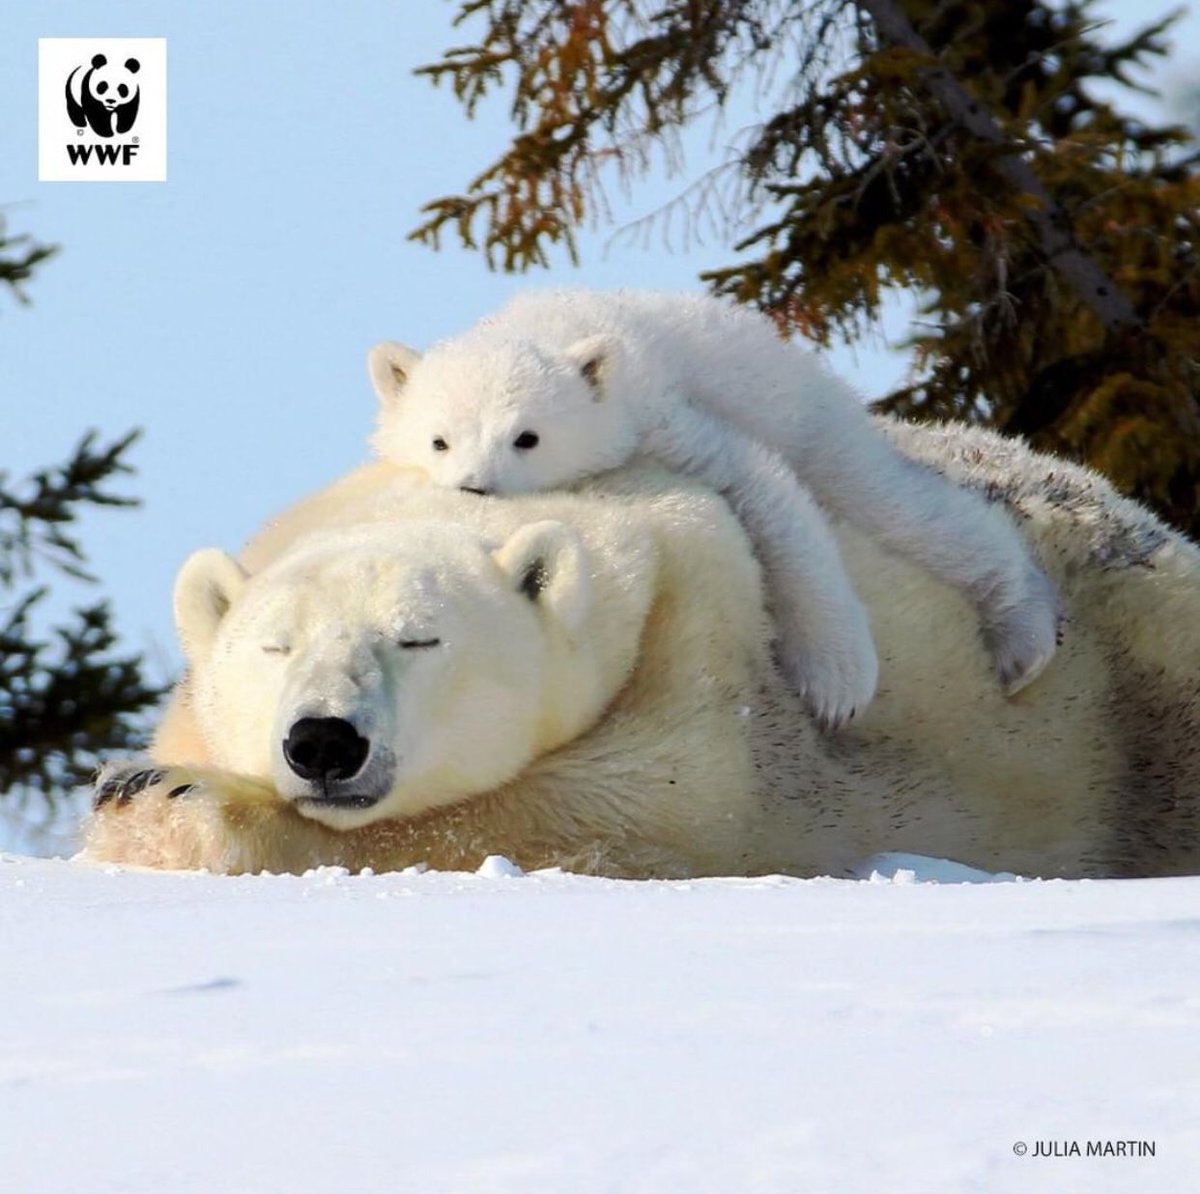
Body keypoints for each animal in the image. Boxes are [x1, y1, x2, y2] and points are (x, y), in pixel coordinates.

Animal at [84, 420, 1200, 878]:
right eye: (273, 647)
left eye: (418, 638)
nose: (323, 742)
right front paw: (143, 785)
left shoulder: (705, 638)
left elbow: (609, 811)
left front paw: (172, 805)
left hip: (1136, 666)